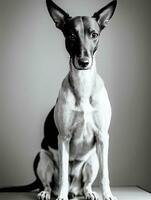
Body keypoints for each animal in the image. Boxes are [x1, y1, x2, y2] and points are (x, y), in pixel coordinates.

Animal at [0, 0, 117, 200]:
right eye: (71, 35)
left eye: (94, 34)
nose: (84, 62)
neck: (83, 83)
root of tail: (74, 190)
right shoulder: (63, 137)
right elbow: (62, 174)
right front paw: (61, 196)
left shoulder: (103, 137)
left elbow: (106, 174)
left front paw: (107, 195)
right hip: (42, 158)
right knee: (47, 183)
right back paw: (48, 193)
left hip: (93, 161)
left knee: (86, 184)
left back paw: (88, 192)